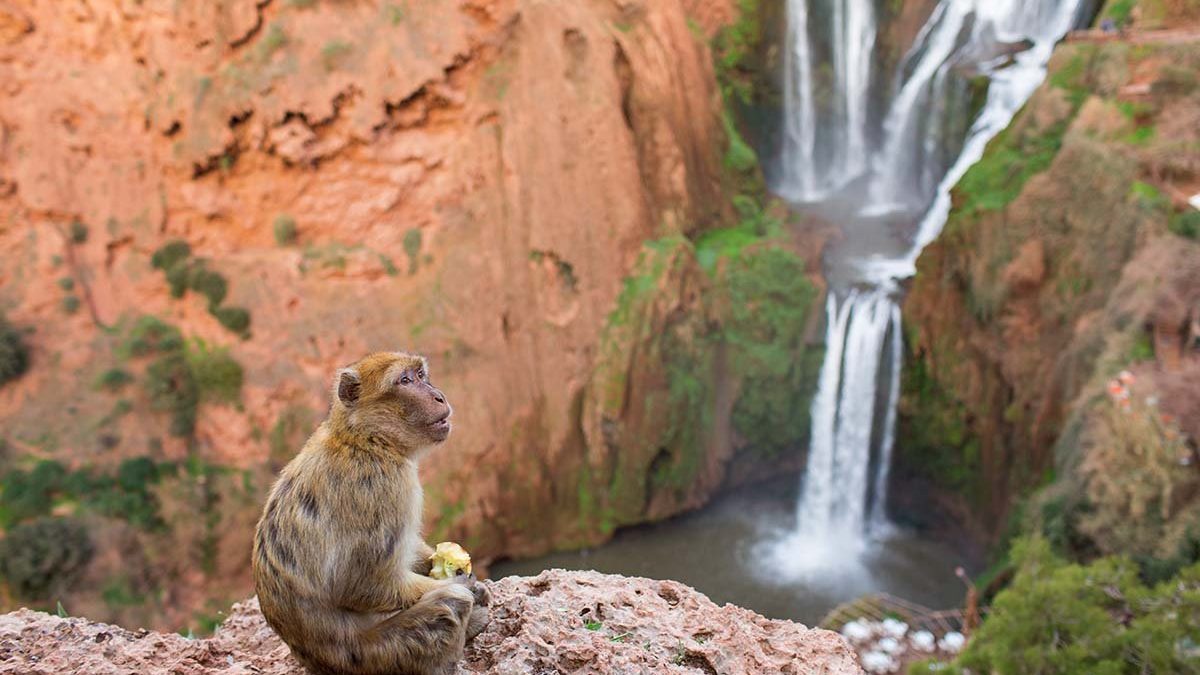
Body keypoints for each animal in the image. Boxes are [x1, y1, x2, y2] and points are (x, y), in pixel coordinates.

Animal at [252, 351, 489, 675]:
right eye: (405, 380)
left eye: (420, 375)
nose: (439, 395)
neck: (366, 439)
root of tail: (317, 663)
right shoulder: (384, 486)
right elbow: (363, 585)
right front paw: (463, 584)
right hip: (377, 657)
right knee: (449, 604)